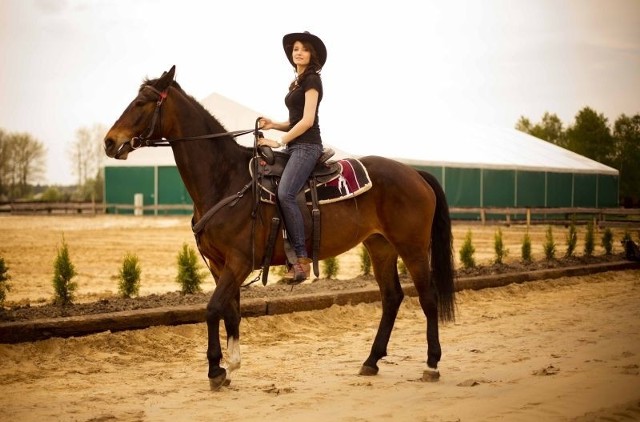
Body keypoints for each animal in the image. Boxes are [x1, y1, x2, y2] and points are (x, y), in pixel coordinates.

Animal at [104, 65, 456, 390]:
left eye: (141, 102)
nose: (109, 142)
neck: (227, 179)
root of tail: (415, 173)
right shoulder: (220, 264)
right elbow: (230, 310)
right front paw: (232, 365)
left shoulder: (239, 262)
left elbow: (213, 308)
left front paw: (216, 370)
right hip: (380, 246)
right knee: (392, 297)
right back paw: (371, 361)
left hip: (411, 247)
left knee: (428, 297)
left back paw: (432, 364)